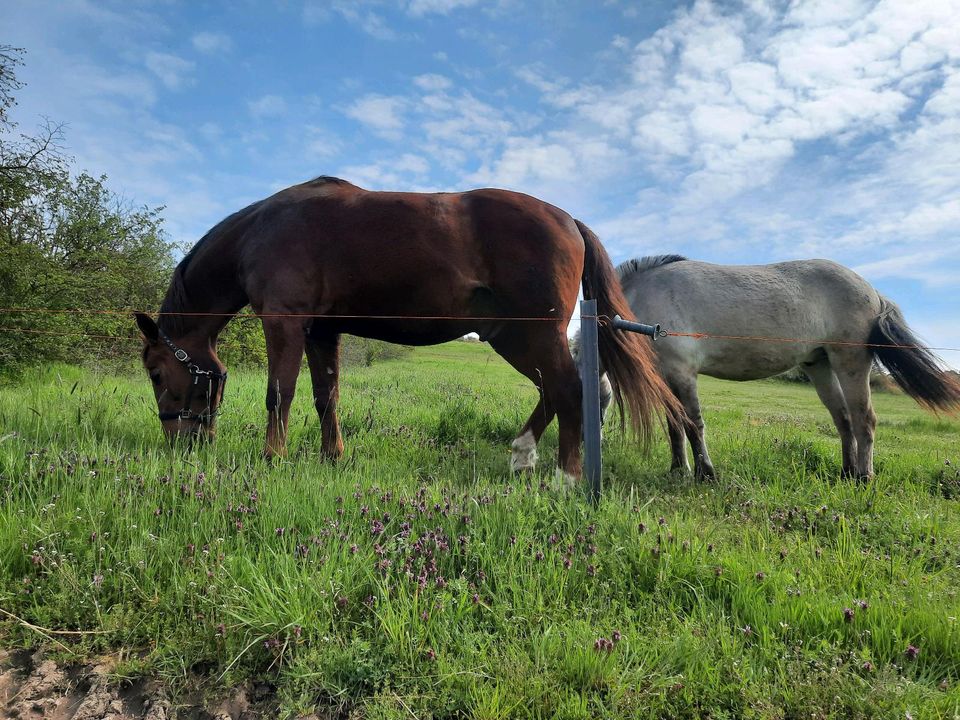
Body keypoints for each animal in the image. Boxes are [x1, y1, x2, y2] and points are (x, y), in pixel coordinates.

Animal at [135, 174, 684, 484]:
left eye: (157, 374)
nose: (180, 441)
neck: (262, 231)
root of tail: (568, 219)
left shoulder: (284, 322)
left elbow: (279, 393)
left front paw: (273, 458)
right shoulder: (321, 332)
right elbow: (325, 396)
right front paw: (332, 457)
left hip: (534, 334)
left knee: (569, 390)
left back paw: (565, 480)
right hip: (511, 336)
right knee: (553, 390)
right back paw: (523, 455)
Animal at [580, 256, 956, 480]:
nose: (586, 441)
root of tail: (873, 291)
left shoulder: (682, 372)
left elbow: (692, 424)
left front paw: (705, 473)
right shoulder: (665, 375)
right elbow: (675, 426)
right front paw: (678, 470)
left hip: (849, 364)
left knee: (865, 420)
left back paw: (863, 477)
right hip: (820, 366)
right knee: (844, 420)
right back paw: (846, 472)